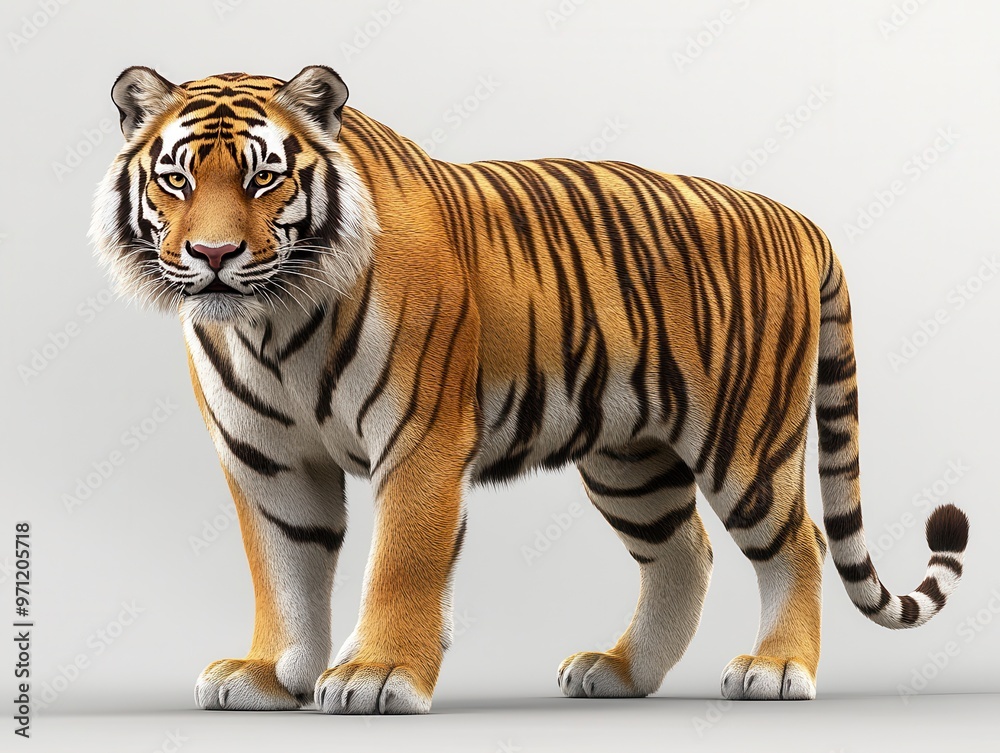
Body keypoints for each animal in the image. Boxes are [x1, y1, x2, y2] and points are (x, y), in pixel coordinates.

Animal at [91, 65, 970, 714]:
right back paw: (620, 672)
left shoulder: (420, 439)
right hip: (630, 458)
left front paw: (376, 675)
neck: (272, 321)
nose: (211, 255)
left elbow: (400, 561)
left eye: (265, 177)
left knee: (799, 544)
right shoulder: (267, 462)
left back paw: (778, 669)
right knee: (683, 551)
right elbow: (284, 572)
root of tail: (797, 219)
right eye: (175, 181)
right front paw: (271, 675)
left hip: (745, 443)